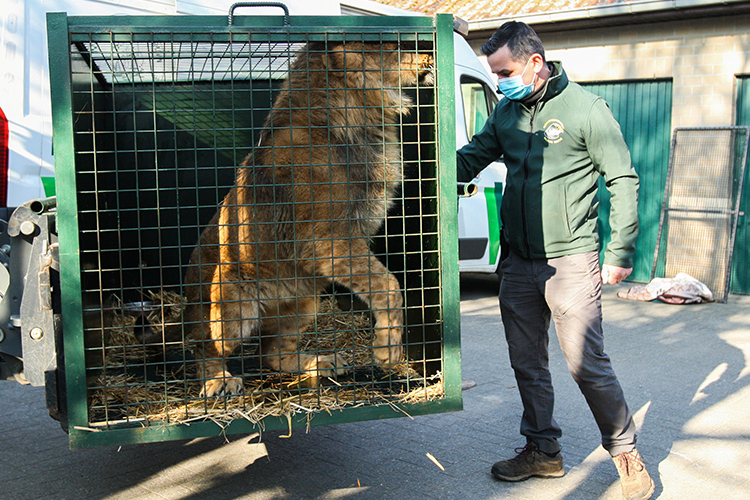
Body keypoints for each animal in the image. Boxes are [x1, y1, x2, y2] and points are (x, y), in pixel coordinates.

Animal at [183, 39, 438, 396]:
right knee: (206, 345)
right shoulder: (326, 239)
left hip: (305, 300)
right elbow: (388, 284)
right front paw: (387, 351)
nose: (430, 54)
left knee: (272, 352)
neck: (364, 114)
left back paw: (321, 362)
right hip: (232, 302)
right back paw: (218, 380)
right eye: (391, 44)